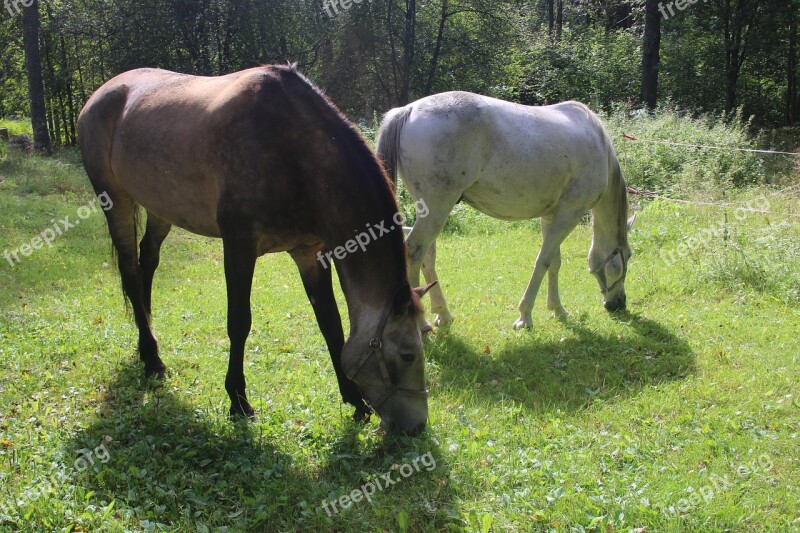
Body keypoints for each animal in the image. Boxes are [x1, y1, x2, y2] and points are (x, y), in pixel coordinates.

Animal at [78, 64, 434, 434]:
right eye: (408, 354)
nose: (416, 425)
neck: (292, 151)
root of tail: (102, 93)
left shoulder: (310, 253)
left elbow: (331, 325)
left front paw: (355, 402)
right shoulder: (239, 247)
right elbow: (239, 322)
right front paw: (238, 401)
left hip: (160, 207)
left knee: (148, 261)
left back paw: (146, 340)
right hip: (115, 199)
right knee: (131, 271)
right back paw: (151, 357)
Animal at [378, 93, 636, 330]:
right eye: (628, 255)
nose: (619, 304)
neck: (597, 143)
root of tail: (408, 110)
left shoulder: (551, 216)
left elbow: (554, 262)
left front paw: (558, 309)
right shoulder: (568, 215)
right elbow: (543, 261)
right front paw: (525, 316)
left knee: (428, 255)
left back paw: (443, 313)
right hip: (438, 208)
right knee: (415, 251)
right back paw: (421, 323)